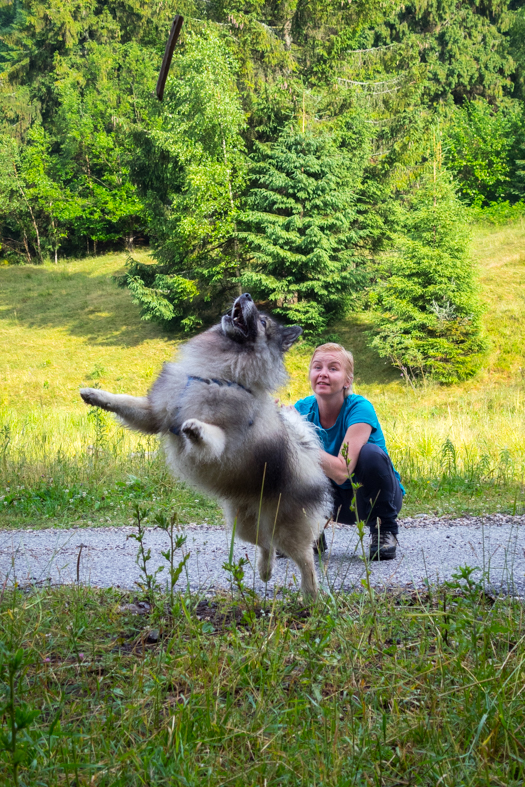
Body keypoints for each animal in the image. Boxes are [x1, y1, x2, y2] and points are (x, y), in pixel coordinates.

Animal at [79, 294, 332, 596]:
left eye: (262, 322)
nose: (246, 295)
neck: (217, 373)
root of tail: (311, 461)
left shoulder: (223, 442)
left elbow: (210, 435)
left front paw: (195, 427)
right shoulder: (157, 414)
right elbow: (123, 401)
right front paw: (93, 394)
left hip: (286, 526)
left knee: (304, 558)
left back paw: (311, 594)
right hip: (242, 523)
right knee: (265, 543)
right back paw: (265, 571)